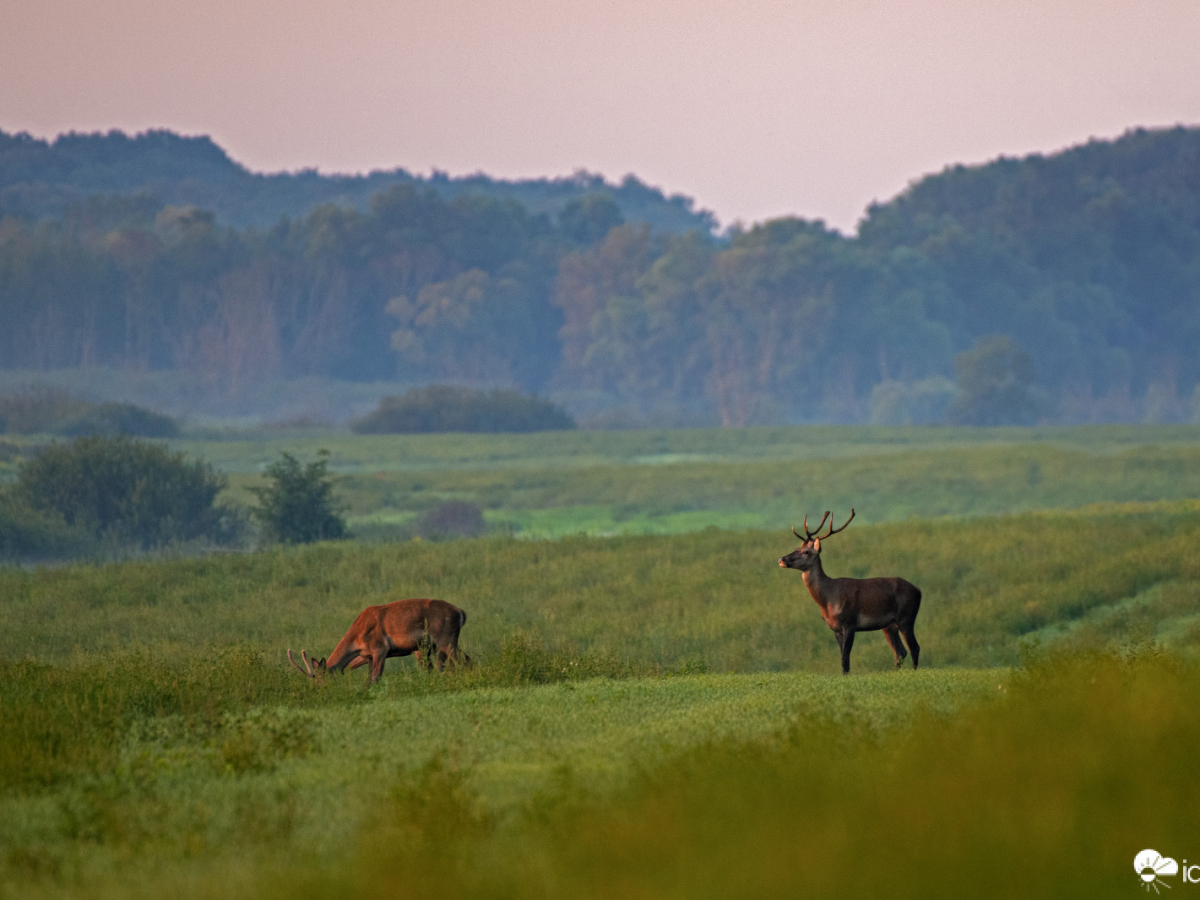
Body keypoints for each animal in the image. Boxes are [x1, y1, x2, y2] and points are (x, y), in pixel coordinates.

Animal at [288, 600, 470, 681]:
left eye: (322, 679)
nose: (319, 691)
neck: (357, 640)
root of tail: (461, 612)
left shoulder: (380, 648)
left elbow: (375, 678)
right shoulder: (368, 655)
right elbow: (368, 678)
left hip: (446, 638)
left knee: (464, 661)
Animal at [777, 511, 916, 672]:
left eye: (806, 552)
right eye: (795, 549)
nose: (782, 559)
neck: (828, 599)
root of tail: (918, 591)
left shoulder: (850, 623)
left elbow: (845, 658)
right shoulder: (836, 628)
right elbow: (843, 658)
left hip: (906, 617)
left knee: (914, 648)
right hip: (889, 625)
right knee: (900, 652)